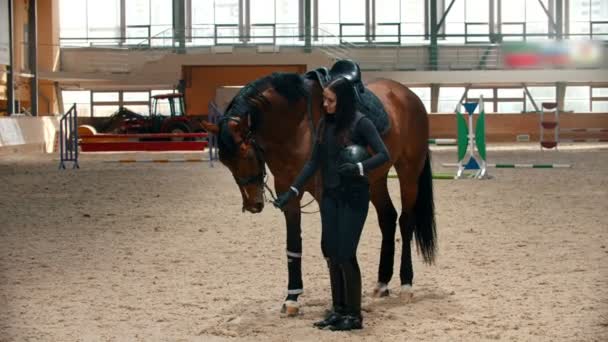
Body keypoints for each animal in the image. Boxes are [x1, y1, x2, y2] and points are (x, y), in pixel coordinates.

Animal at [202, 71, 434, 316]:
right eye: (225, 161)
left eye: (246, 153)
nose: (252, 204)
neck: (296, 126)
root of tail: (408, 94)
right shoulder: (289, 195)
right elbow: (293, 246)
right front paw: (292, 298)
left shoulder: (324, 198)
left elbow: (328, 246)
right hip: (376, 179)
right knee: (388, 218)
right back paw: (382, 283)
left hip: (409, 171)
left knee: (406, 222)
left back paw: (406, 284)